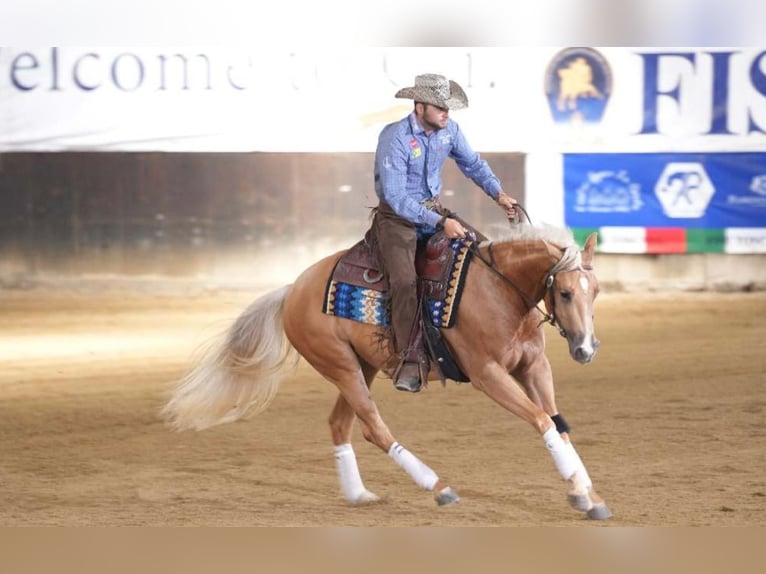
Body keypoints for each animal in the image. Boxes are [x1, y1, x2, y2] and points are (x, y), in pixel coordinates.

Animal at [162, 224, 612, 520]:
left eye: (596, 291)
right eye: (565, 292)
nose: (587, 349)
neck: (498, 290)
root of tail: (292, 290)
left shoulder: (534, 367)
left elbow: (557, 424)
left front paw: (586, 495)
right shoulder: (488, 374)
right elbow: (542, 421)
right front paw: (581, 489)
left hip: (359, 367)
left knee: (340, 423)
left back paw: (358, 494)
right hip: (341, 366)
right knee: (372, 428)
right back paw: (438, 487)